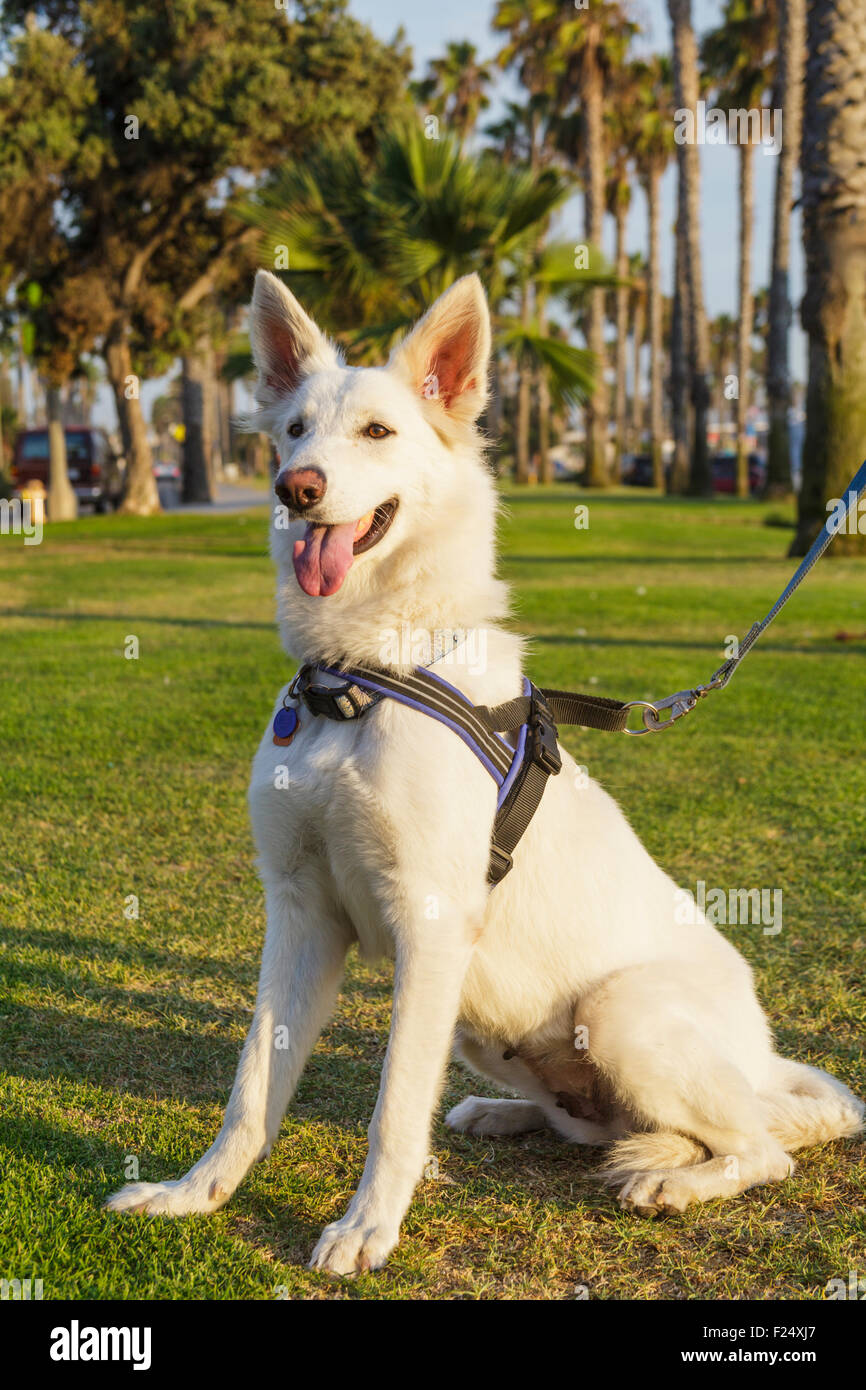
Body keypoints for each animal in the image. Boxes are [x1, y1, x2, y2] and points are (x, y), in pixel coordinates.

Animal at [107, 268, 861, 1273]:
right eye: (295, 429)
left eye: (377, 432)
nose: (294, 488)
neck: (361, 679)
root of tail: (767, 1061)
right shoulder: (300, 915)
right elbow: (251, 1088)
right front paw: (196, 1195)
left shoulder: (430, 926)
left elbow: (392, 1107)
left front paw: (367, 1229)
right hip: (484, 1026)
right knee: (602, 1125)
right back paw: (514, 1117)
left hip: (617, 1011)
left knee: (762, 1147)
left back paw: (675, 1179)